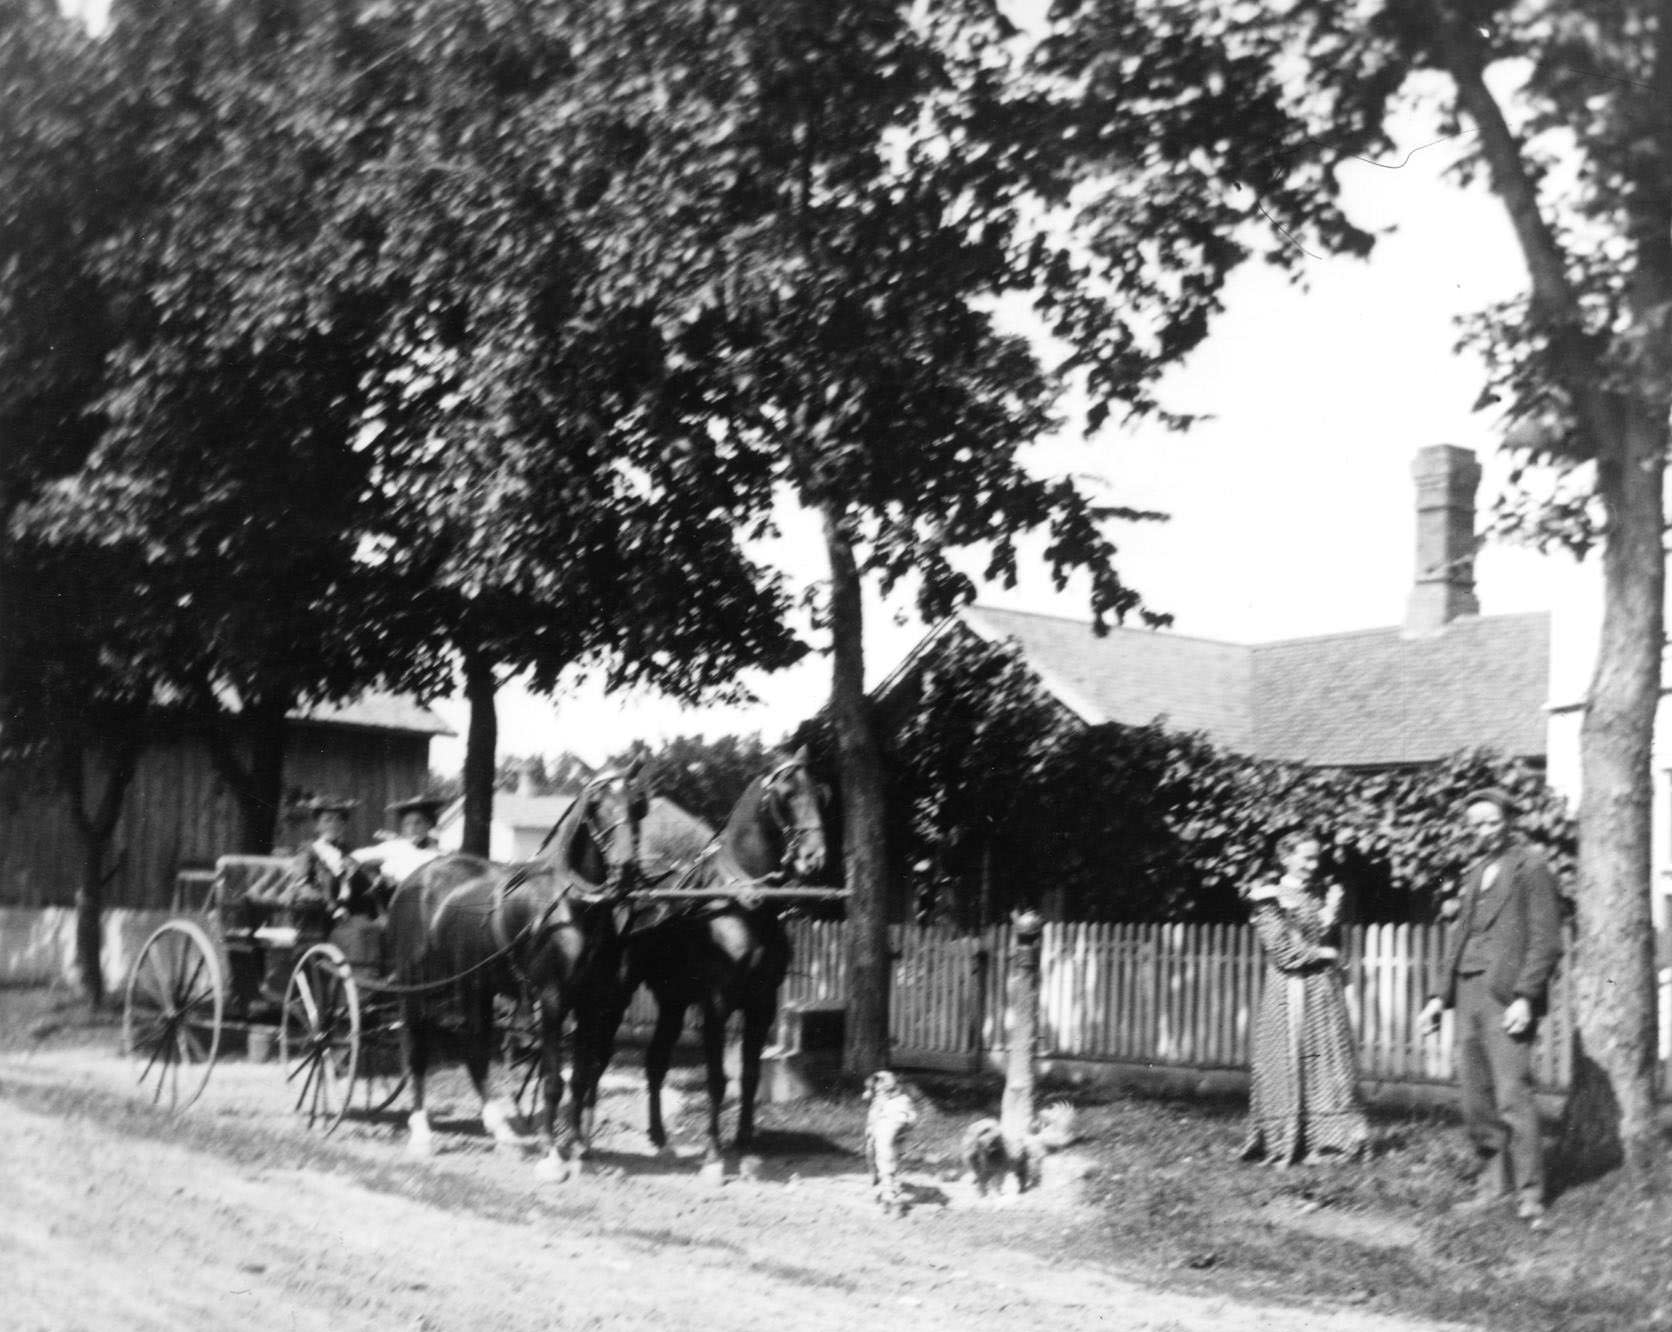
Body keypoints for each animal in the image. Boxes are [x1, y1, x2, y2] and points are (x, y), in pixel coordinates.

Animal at [384, 765, 645, 1176]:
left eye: (638, 803)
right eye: (597, 805)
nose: (627, 868)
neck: (571, 906)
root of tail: (415, 878)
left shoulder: (590, 1003)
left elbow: (581, 1078)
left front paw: (577, 1148)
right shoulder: (553, 999)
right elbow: (553, 1080)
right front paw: (553, 1156)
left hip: (473, 984)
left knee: (474, 1050)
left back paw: (503, 1133)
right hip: (417, 985)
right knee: (416, 1047)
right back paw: (422, 1133)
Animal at [621, 748, 829, 1176]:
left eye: (820, 794)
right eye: (787, 794)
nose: (815, 859)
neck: (742, 906)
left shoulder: (762, 1004)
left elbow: (749, 1075)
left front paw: (745, 1141)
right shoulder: (716, 1005)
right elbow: (717, 1078)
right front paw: (714, 1152)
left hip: (672, 1002)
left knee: (655, 1062)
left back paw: (659, 1136)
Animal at [862, 1069, 929, 1216]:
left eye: (866, 1086)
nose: (863, 1096)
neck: (887, 1093)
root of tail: (901, 1113)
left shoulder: (870, 1146)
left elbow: (872, 1172)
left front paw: (873, 1185)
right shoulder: (899, 1150)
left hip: (883, 1155)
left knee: (886, 1178)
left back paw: (887, 1203)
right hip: (893, 1153)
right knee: (892, 1175)